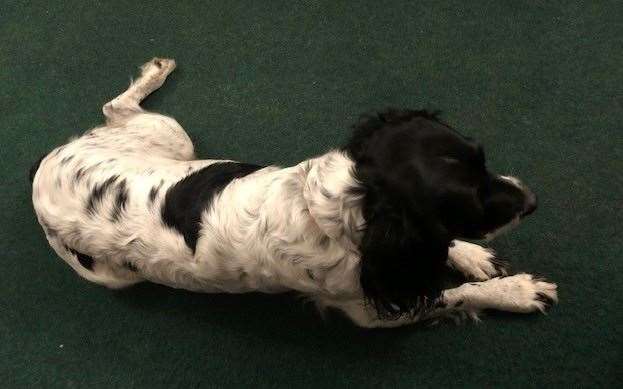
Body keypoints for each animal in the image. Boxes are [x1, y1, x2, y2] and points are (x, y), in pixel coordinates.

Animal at [29, 57, 560, 326]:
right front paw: (515, 292)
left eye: (483, 158)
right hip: (165, 152)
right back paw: (154, 73)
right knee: (113, 106)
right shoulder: (371, 309)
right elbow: (458, 294)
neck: (329, 209)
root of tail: (40, 172)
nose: (534, 201)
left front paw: (470, 255)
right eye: (467, 201)